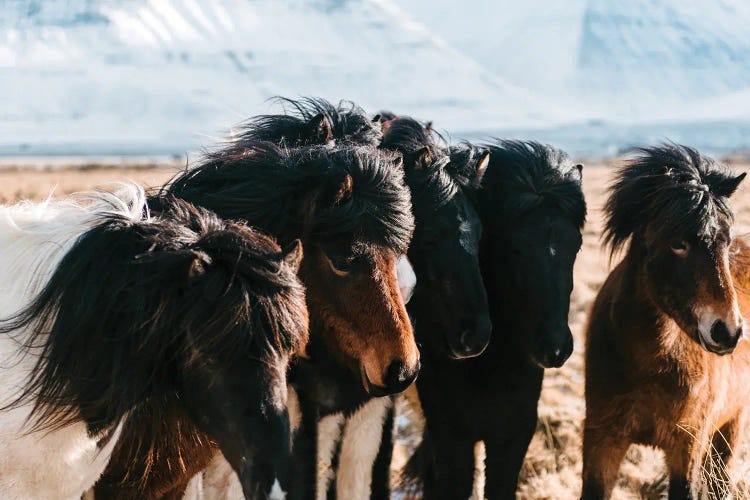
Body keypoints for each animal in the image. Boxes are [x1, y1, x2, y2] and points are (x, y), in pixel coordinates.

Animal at [406, 139, 588, 498]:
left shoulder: (512, 437)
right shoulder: (451, 439)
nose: (555, 347)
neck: (487, 367)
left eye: (576, 244)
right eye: (514, 247)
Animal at [584, 143, 748, 498]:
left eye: (725, 242)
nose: (728, 331)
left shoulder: (686, 447)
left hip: (731, 426)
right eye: (678, 244)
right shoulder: (602, 442)